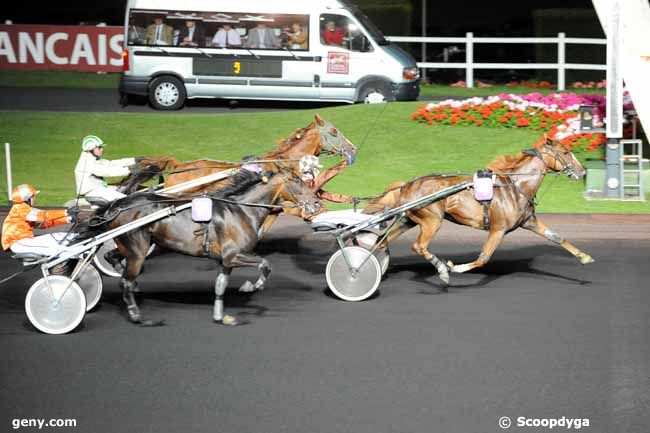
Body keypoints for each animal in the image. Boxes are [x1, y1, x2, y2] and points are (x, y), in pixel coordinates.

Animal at [90, 170, 322, 326]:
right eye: (298, 181)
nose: (317, 204)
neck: (241, 211)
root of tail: (116, 205)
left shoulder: (225, 261)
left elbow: (220, 286)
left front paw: (220, 316)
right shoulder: (233, 255)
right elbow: (265, 263)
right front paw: (251, 286)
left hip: (133, 245)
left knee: (112, 257)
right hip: (137, 249)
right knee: (125, 281)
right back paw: (137, 315)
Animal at [362, 138, 596, 286]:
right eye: (565, 152)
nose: (582, 172)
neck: (516, 186)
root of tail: (407, 185)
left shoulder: (529, 221)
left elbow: (557, 237)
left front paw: (584, 257)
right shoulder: (498, 229)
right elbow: (484, 257)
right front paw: (454, 269)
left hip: (409, 220)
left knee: (382, 242)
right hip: (432, 220)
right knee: (419, 246)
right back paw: (441, 270)